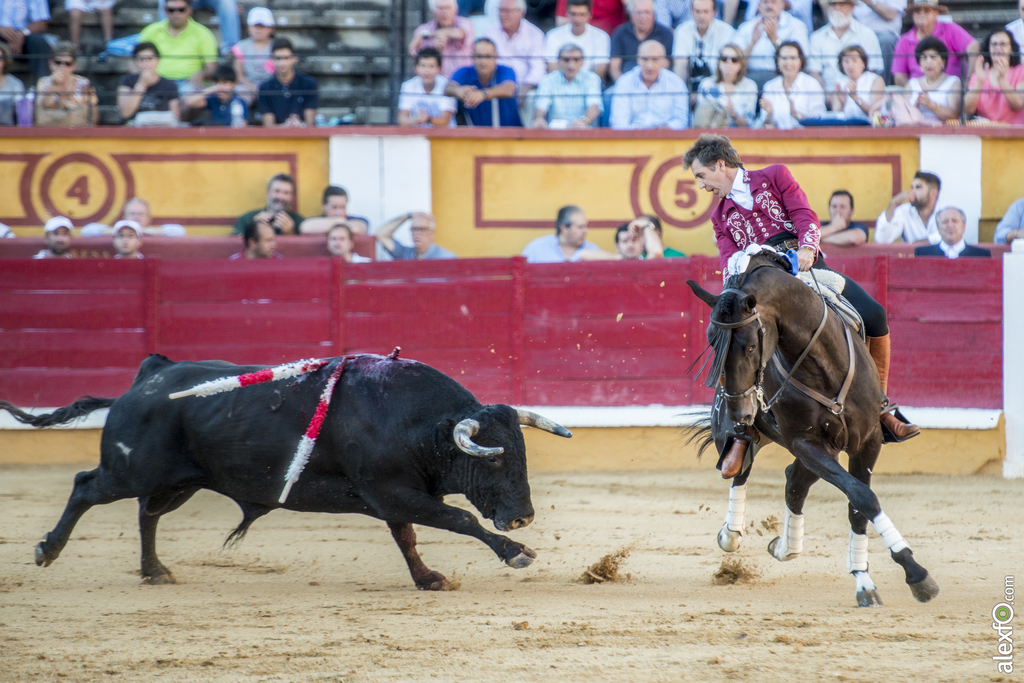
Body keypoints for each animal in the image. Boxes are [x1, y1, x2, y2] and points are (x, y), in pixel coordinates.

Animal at [0, 356, 573, 589]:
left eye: (522, 453)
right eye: (493, 457)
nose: (522, 518)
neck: (416, 422)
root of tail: (147, 377)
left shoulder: (394, 496)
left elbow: (408, 538)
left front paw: (429, 579)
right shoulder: (393, 492)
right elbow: (458, 520)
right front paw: (516, 553)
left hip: (178, 481)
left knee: (147, 513)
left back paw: (155, 571)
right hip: (131, 470)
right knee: (86, 487)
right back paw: (47, 550)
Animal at [688, 252, 937, 610]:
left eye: (750, 346)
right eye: (711, 342)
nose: (741, 411)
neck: (820, 362)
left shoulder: (867, 442)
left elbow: (859, 503)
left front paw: (866, 580)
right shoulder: (806, 443)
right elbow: (862, 496)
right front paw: (913, 573)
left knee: (794, 480)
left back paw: (785, 547)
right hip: (745, 436)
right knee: (742, 467)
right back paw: (731, 534)